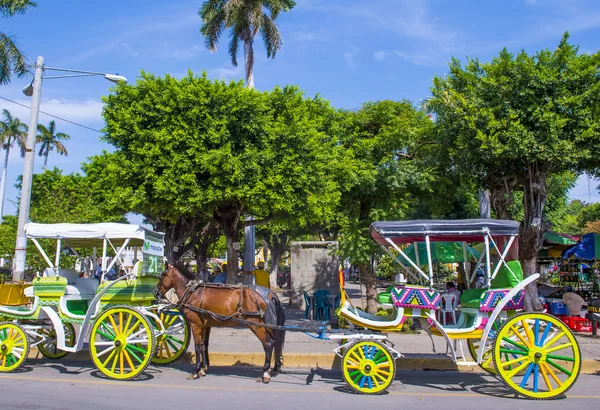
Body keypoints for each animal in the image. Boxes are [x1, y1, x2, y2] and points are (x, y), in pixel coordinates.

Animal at [155, 264, 286, 382]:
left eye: (161, 276)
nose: (155, 292)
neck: (193, 292)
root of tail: (270, 295)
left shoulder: (195, 324)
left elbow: (197, 347)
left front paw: (195, 371)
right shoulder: (205, 325)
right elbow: (203, 345)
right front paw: (203, 369)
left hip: (255, 324)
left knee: (268, 344)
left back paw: (265, 373)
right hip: (267, 326)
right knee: (275, 342)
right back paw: (272, 368)